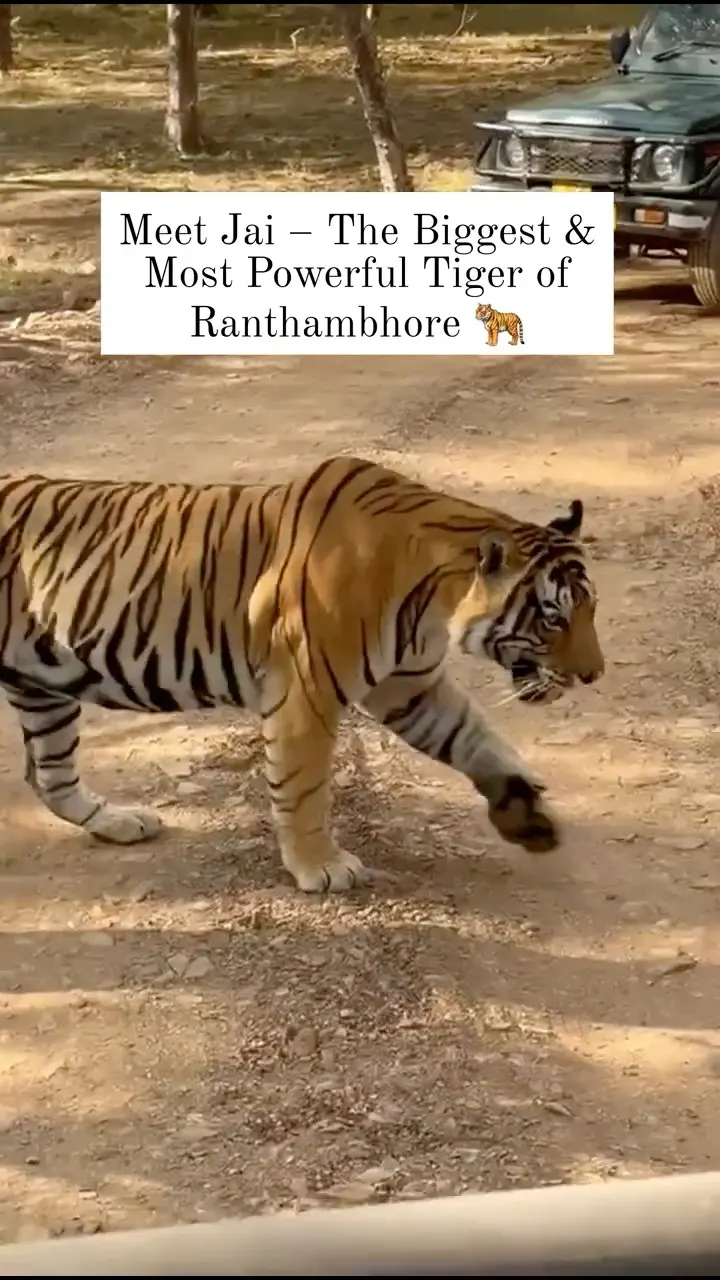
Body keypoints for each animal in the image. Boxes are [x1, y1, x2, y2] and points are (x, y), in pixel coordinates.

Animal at [0, 456, 603, 893]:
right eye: (554, 616)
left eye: (589, 609)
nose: (594, 676)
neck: (435, 602)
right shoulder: (306, 688)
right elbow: (304, 783)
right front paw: (323, 867)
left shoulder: (409, 683)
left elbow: (474, 736)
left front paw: (524, 812)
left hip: (41, 680)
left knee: (50, 774)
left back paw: (119, 822)